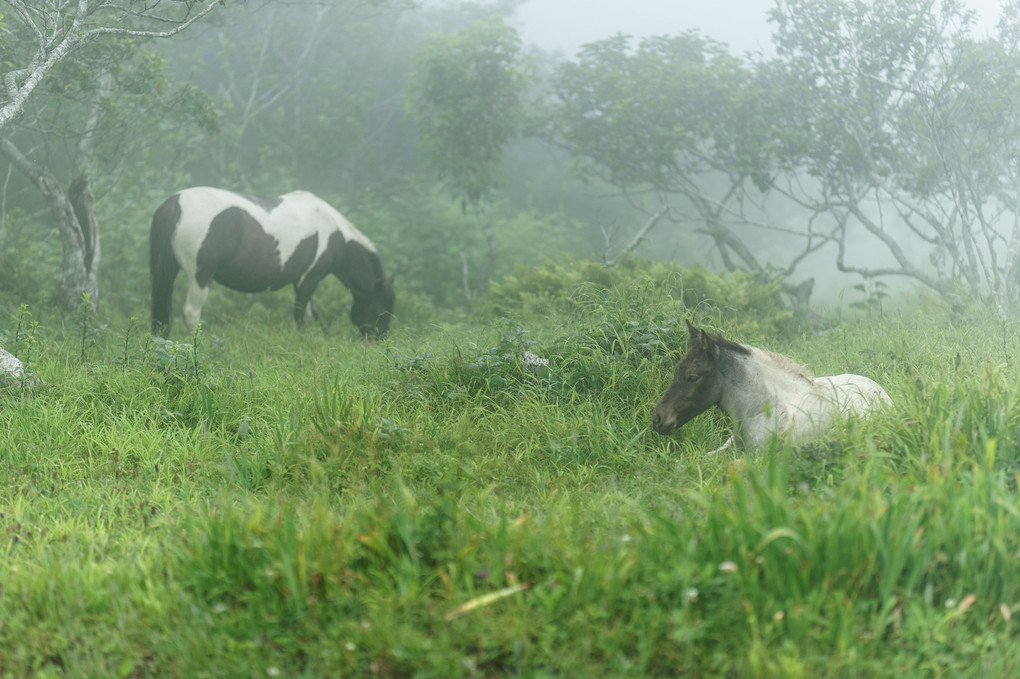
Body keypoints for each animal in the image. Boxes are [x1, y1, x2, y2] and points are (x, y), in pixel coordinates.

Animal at [147, 186, 393, 336]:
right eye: (379, 309)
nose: (379, 341)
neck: (335, 234)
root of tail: (174, 204)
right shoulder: (309, 279)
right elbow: (300, 317)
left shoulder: (301, 281)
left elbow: (308, 315)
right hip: (200, 277)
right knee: (191, 312)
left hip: (165, 273)